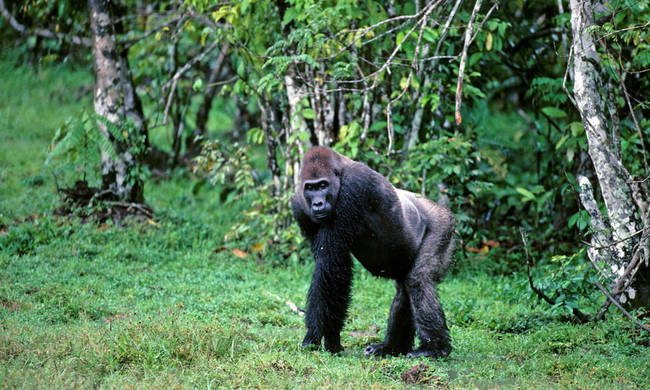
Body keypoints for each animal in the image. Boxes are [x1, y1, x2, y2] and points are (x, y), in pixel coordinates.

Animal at [292, 147, 454, 360]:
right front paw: (330, 336)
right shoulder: (299, 206)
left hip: (443, 225)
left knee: (418, 280)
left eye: (323, 185)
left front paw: (316, 335)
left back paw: (435, 348)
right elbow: (332, 268)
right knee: (404, 288)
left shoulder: (354, 187)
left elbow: (332, 265)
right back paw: (391, 347)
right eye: (310, 188)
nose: (317, 203)